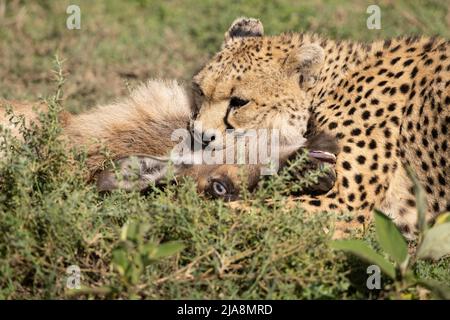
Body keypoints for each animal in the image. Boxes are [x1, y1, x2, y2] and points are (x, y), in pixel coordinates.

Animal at [192, 17, 448, 238]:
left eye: (239, 102)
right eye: (200, 90)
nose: (200, 136)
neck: (331, 84)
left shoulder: (343, 203)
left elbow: (234, 210)